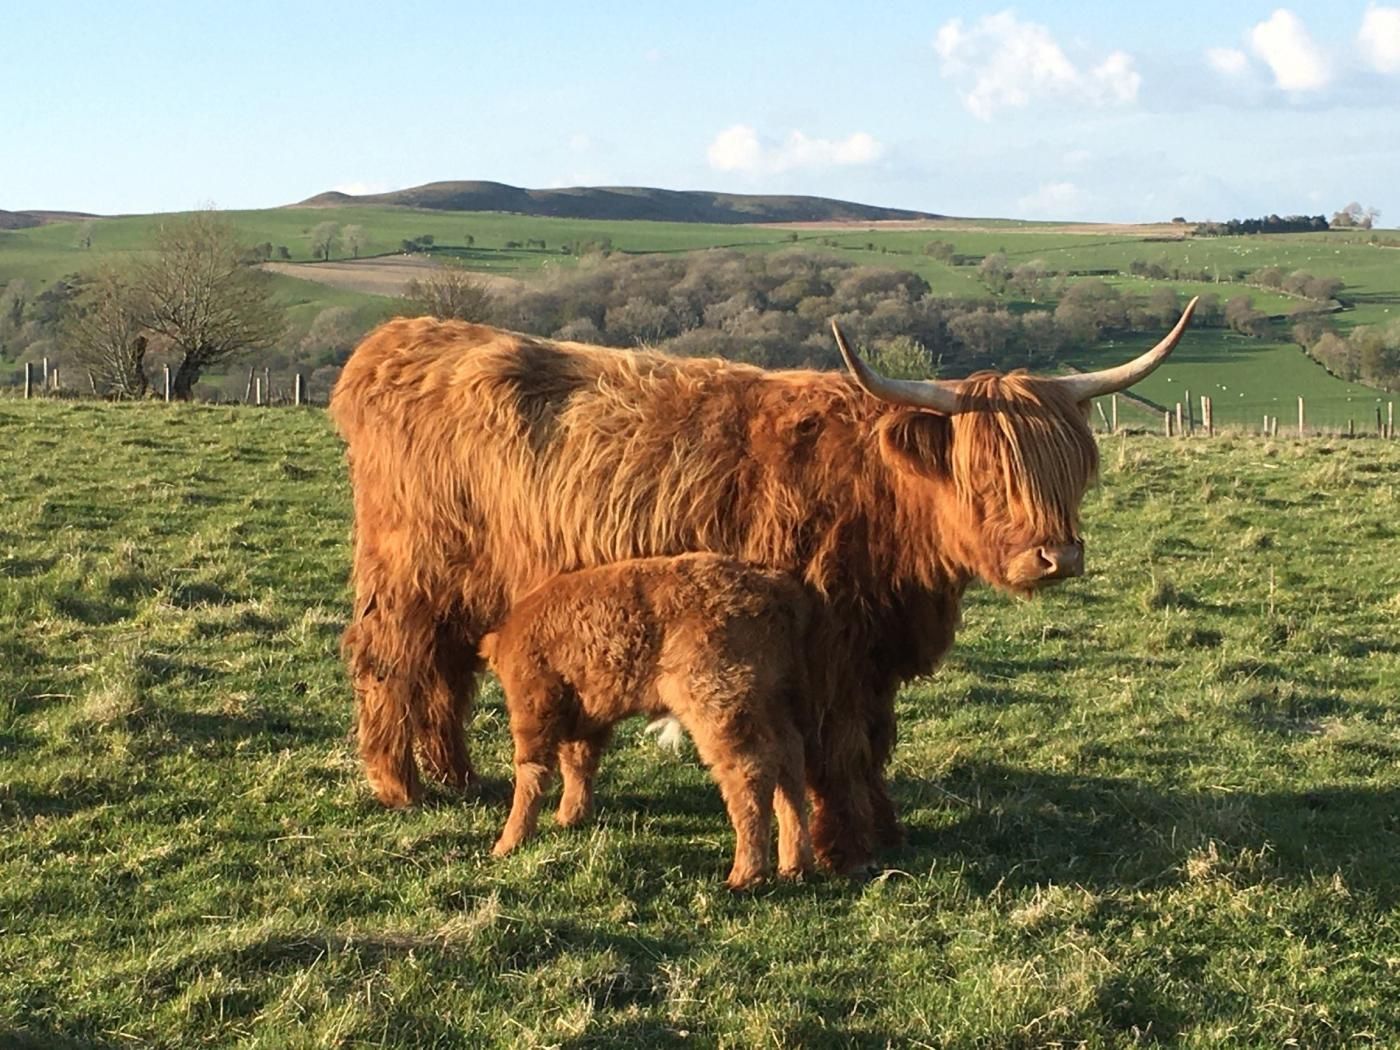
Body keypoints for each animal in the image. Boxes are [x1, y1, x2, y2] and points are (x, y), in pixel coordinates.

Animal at [479, 553, 814, 890]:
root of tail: (772, 586)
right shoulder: (588, 715)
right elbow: (578, 761)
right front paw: (570, 817)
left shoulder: (534, 705)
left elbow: (532, 770)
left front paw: (509, 842)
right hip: (772, 704)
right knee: (790, 763)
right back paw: (795, 865)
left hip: (719, 704)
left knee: (749, 770)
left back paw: (745, 874)